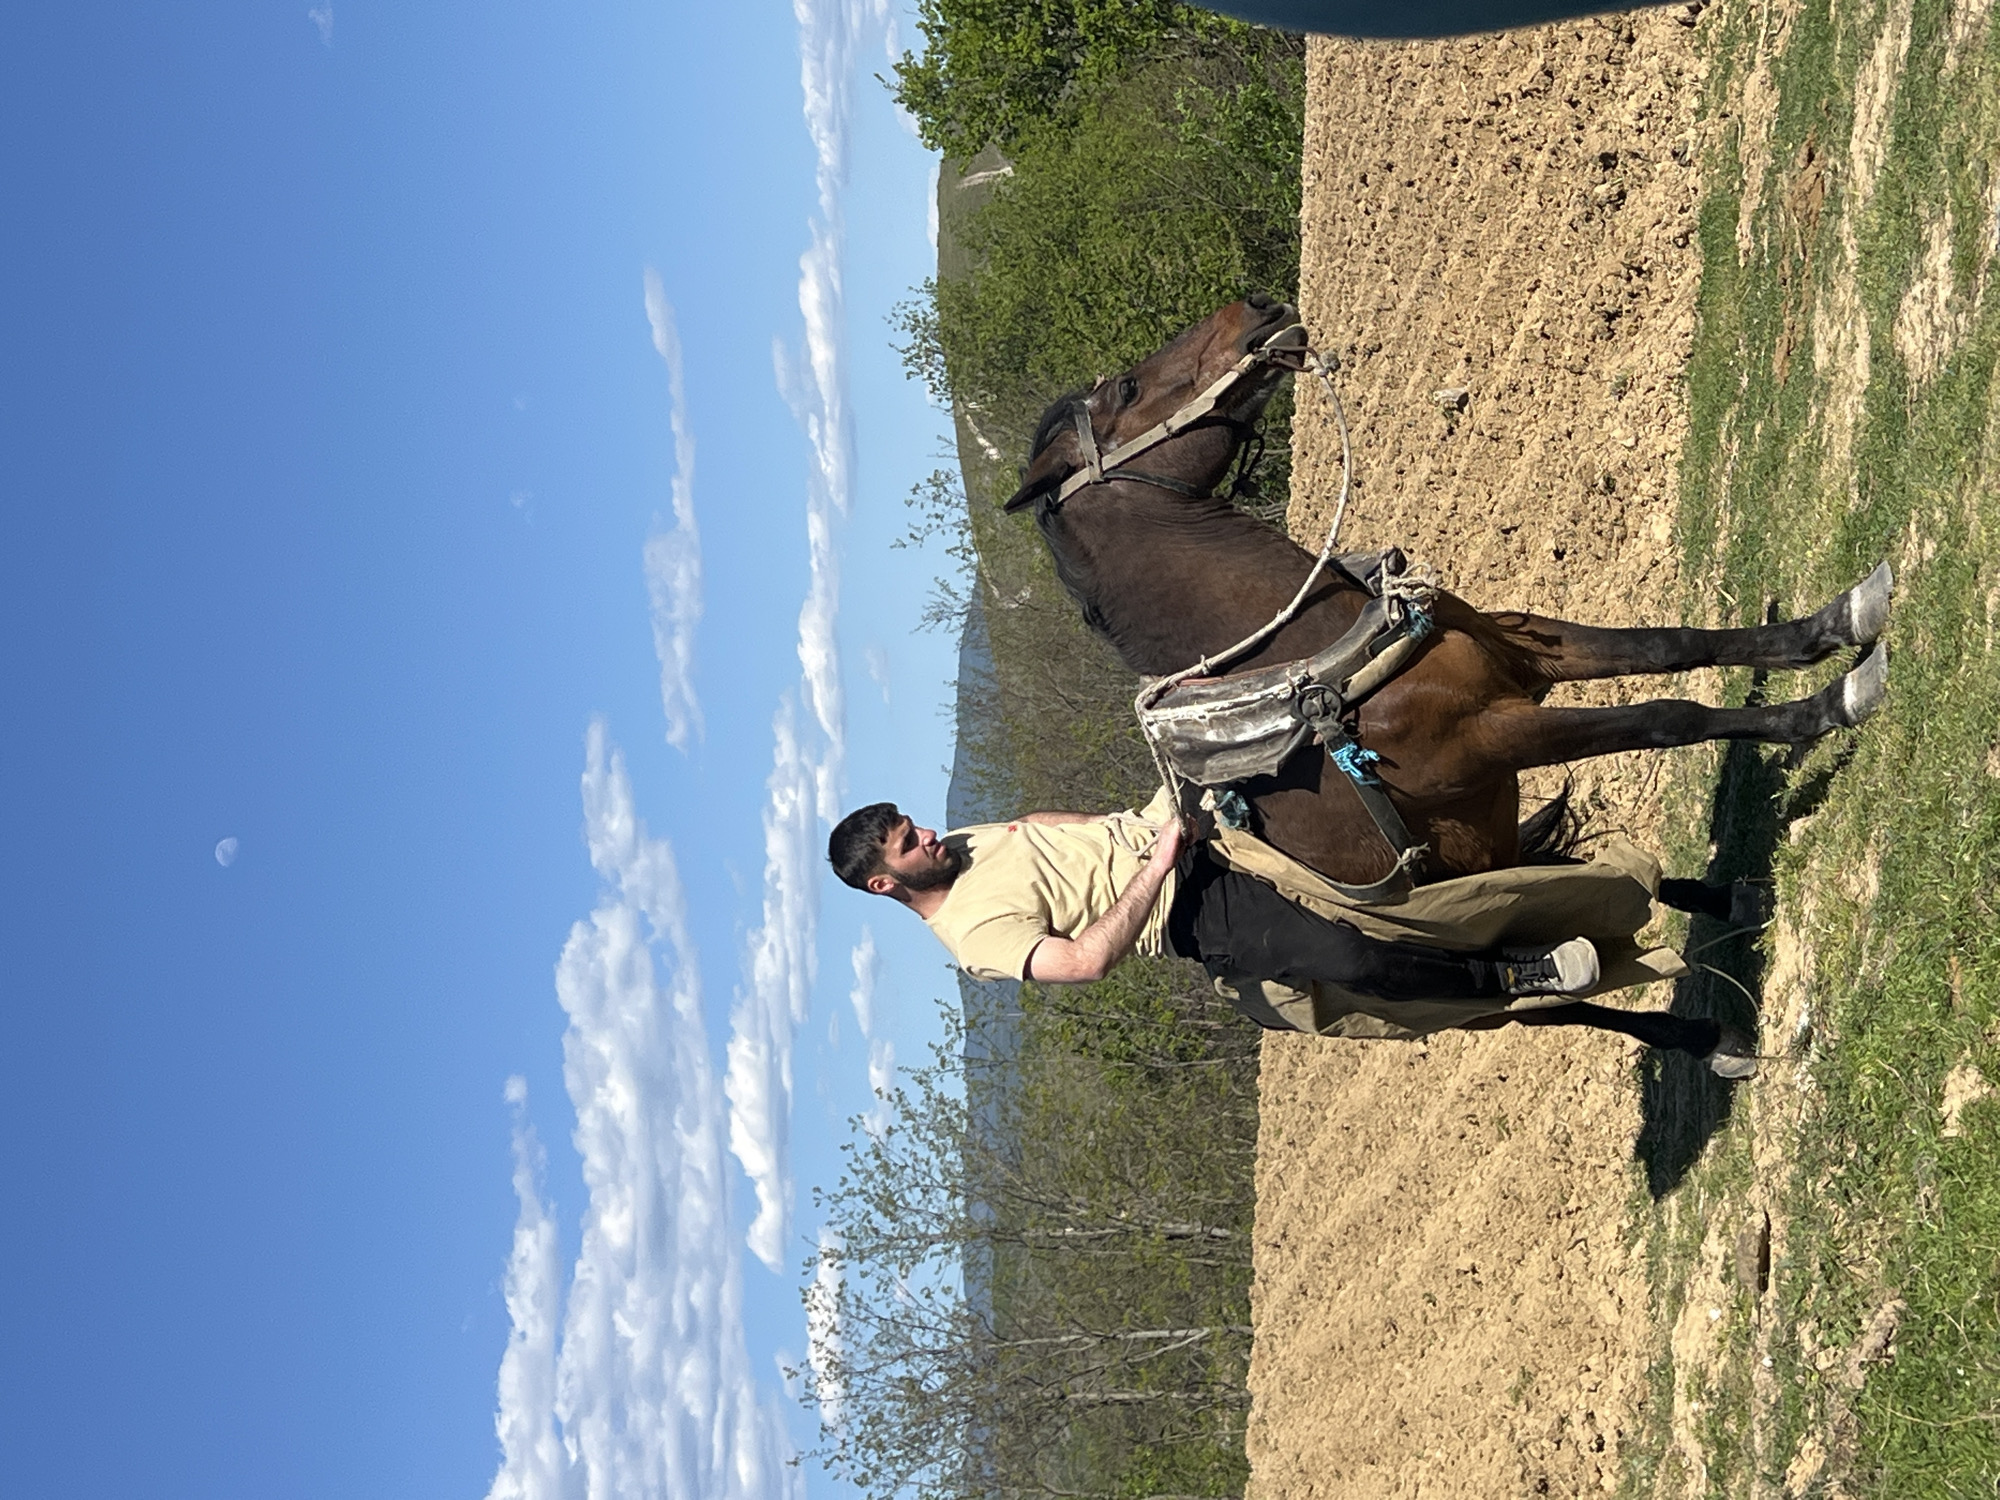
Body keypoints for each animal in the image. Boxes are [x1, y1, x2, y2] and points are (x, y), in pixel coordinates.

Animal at [1000, 297, 1889, 1064]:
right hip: (1447, 990)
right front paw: (1825, 708)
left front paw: (1833, 629)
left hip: (1493, 868)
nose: (1258, 307)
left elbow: (1671, 645)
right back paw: (1705, 1040)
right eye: (1127, 388)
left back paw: (1726, 902)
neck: (1319, 657)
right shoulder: (1499, 735)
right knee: (1561, 1002)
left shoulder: (1526, 653)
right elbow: (1667, 715)